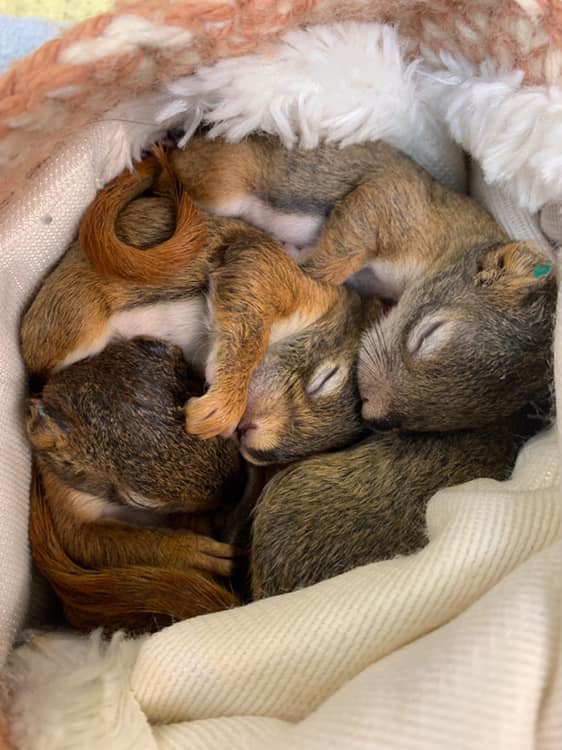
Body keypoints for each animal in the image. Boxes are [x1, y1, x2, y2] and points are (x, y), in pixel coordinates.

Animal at [26, 337, 245, 633]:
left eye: (196, 394)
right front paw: (197, 550)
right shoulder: (62, 498)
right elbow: (87, 543)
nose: (237, 488)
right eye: (140, 500)